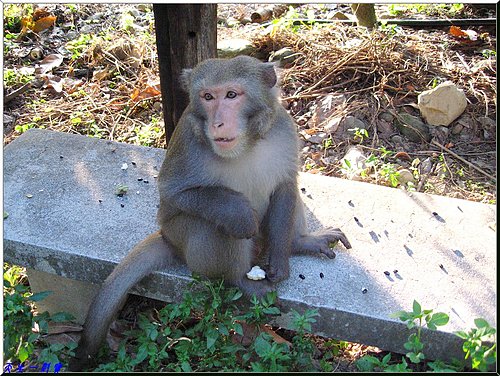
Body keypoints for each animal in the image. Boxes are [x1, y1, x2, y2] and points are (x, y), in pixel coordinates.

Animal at [70, 55, 350, 370]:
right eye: (207, 97)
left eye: (231, 95)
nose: (218, 122)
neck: (246, 145)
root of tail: (167, 239)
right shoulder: (187, 143)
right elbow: (173, 194)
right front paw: (237, 212)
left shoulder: (283, 130)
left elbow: (286, 185)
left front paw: (281, 257)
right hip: (182, 238)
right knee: (213, 227)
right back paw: (241, 281)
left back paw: (299, 243)